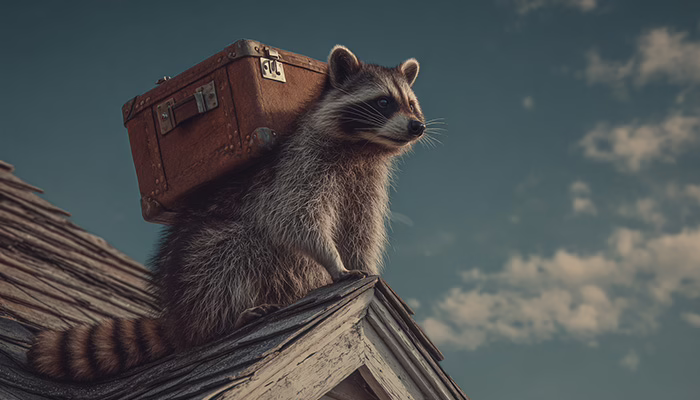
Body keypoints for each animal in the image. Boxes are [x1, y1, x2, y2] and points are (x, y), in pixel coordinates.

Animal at [28, 45, 427, 381]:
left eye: (411, 104)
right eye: (384, 102)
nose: (417, 127)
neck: (363, 148)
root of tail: (178, 318)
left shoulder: (367, 184)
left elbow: (361, 228)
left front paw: (365, 266)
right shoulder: (300, 166)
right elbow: (292, 218)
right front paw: (334, 261)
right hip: (199, 261)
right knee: (228, 254)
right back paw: (223, 321)